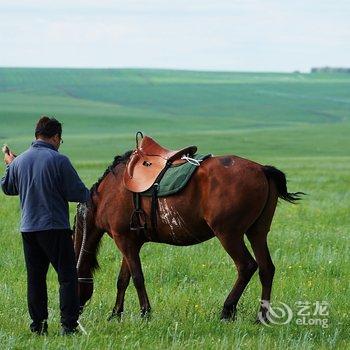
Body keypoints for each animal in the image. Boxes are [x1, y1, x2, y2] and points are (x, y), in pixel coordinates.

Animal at [74, 150, 304, 322]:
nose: (75, 313)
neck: (108, 193)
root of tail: (262, 169)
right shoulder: (131, 242)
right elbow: (123, 279)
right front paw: (115, 314)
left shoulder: (123, 240)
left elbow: (137, 278)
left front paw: (145, 313)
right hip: (257, 232)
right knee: (266, 269)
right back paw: (261, 317)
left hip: (229, 234)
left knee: (246, 266)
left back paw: (227, 310)